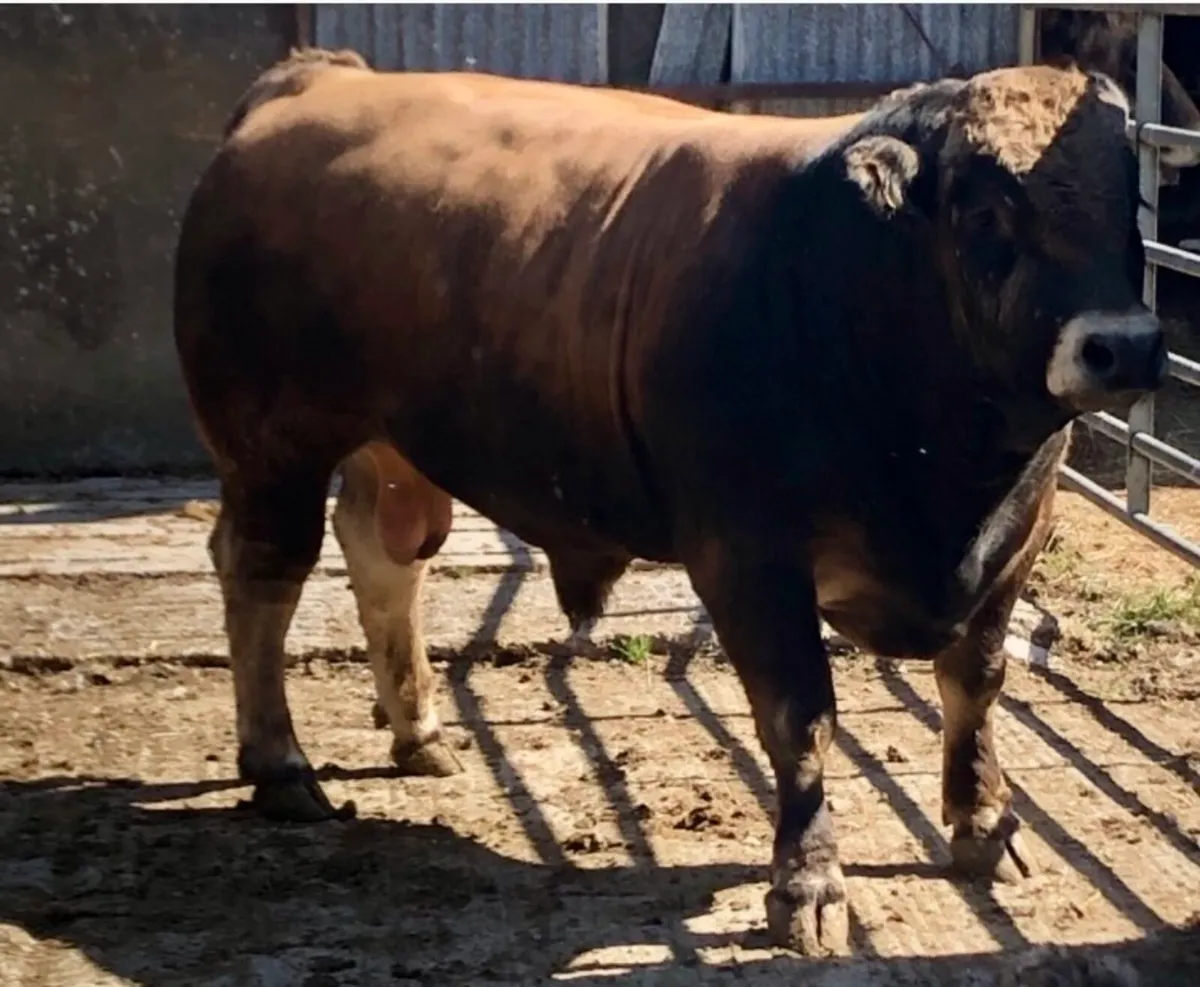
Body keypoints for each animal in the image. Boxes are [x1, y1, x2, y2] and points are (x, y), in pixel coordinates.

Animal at [173, 51, 1168, 956]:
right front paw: (808, 884)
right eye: (987, 210)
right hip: (273, 443)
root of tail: (321, 77)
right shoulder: (748, 556)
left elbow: (976, 686)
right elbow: (800, 718)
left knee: (384, 559)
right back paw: (281, 764)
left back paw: (417, 730)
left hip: (391, 444)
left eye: (1131, 208)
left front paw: (983, 825)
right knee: (262, 574)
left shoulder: (1019, 541)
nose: (1123, 347)